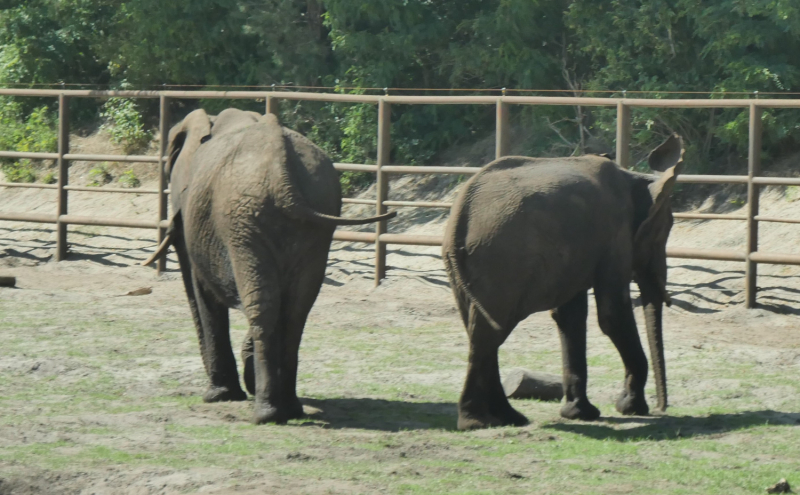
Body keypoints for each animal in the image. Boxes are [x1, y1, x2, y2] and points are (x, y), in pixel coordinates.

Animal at [144, 108, 396, 426]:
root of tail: (281, 170)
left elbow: (204, 292)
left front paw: (219, 396)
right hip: (311, 221)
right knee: (294, 309)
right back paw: (289, 408)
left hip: (243, 221)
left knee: (263, 306)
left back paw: (266, 413)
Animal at [440, 135, 684, 430]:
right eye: (664, 232)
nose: (661, 408)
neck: (635, 178)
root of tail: (460, 218)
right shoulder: (615, 234)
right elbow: (612, 315)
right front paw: (630, 409)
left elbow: (570, 317)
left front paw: (581, 414)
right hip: (501, 262)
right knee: (488, 332)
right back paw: (478, 422)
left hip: (466, 267)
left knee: (481, 331)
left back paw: (509, 418)